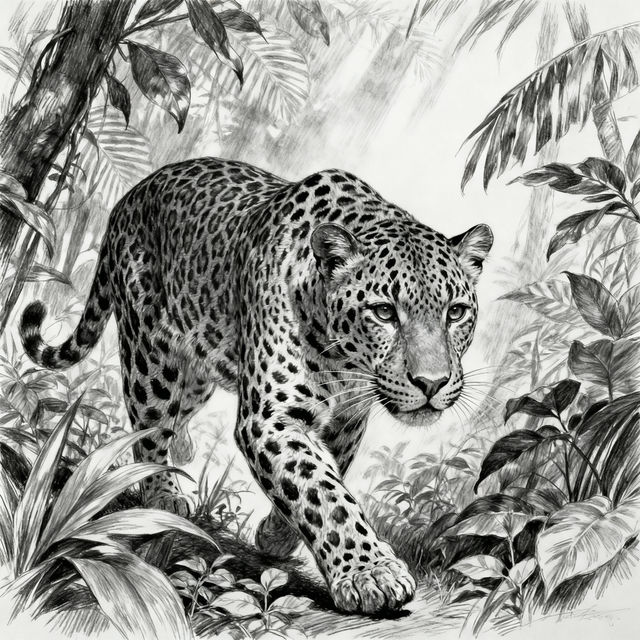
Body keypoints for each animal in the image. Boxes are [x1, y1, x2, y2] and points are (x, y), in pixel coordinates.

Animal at [20, 157, 493, 614]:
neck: (344, 361)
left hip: (197, 373)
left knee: (177, 417)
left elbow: (317, 480)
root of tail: (131, 196)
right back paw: (162, 494)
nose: (431, 382)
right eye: (384, 312)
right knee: (149, 427)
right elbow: (323, 492)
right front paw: (370, 573)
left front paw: (275, 536)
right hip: (151, 359)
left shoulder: (347, 420)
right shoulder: (269, 418)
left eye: (455, 312)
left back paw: (184, 451)